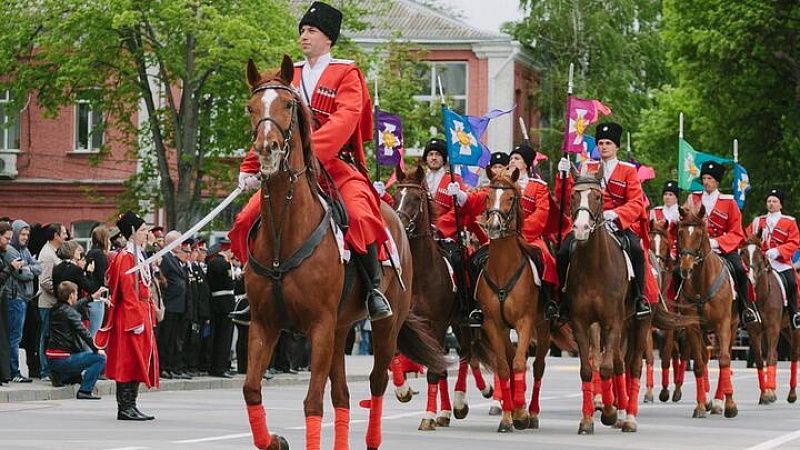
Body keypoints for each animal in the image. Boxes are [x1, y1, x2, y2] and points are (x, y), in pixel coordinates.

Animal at [241, 56, 446, 450]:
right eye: (251, 107)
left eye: (287, 104)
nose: (266, 149)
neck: (284, 235)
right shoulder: (264, 324)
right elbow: (251, 390)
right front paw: (274, 440)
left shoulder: (319, 326)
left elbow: (312, 402)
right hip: (340, 331)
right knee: (342, 395)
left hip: (384, 326)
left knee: (378, 381)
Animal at [472, 168, 552, 432]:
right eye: (487, 197)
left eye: (510, 198)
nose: (494, 226)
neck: (503, 269)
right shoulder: (493, 324)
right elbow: (504, 366)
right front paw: (508, 417)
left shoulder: (525, 322)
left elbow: (517, 364)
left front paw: (520, 414)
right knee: (512, 356)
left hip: (544, 326)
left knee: (537, 366)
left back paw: (532, 413)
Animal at [676, 204, 736, 418]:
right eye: (680, 232)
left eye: (699, 234)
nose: (685, 268)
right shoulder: (693, 326)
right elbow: (700, 365)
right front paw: (701, 405)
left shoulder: (723, 324)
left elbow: (725, 360)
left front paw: (730, 405)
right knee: (705, 356)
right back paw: (710, 400)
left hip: (731, 327)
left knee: (725, 357)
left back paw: (719, 401)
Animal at [736, 236, 800, 404]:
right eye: (742, 253)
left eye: (761, 256)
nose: (750, 278)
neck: (763, 295)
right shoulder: (755, 331)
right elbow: (760, 359)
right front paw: (765, 392)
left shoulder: (772, 329)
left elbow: (770, 357)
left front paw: (769, 393)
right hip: (785, 329)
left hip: (794, 328)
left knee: (794, 354)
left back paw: (792, 393)